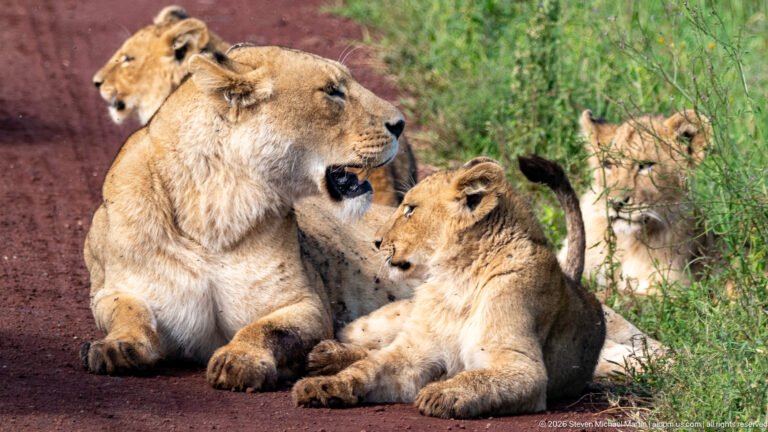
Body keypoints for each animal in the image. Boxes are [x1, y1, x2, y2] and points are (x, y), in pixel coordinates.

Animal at [80, 44, 423, 391]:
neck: (213, 209)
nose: (400, 124)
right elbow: (127, 311)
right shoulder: (113, 289)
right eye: (331, 91)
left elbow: (269, 329)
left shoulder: (307, 302)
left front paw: (240, 359)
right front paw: (114, 347)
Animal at [292, 156, 607, 418]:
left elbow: (477, 376)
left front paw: (442, 393)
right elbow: (368, 368)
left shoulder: (523, 367)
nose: (377, 242)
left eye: (410, 210)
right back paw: (326, 354)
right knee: (359, 340)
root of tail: (575, 283)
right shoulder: (415, 350)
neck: (456, 279)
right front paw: (321, 387)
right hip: (379, 323)